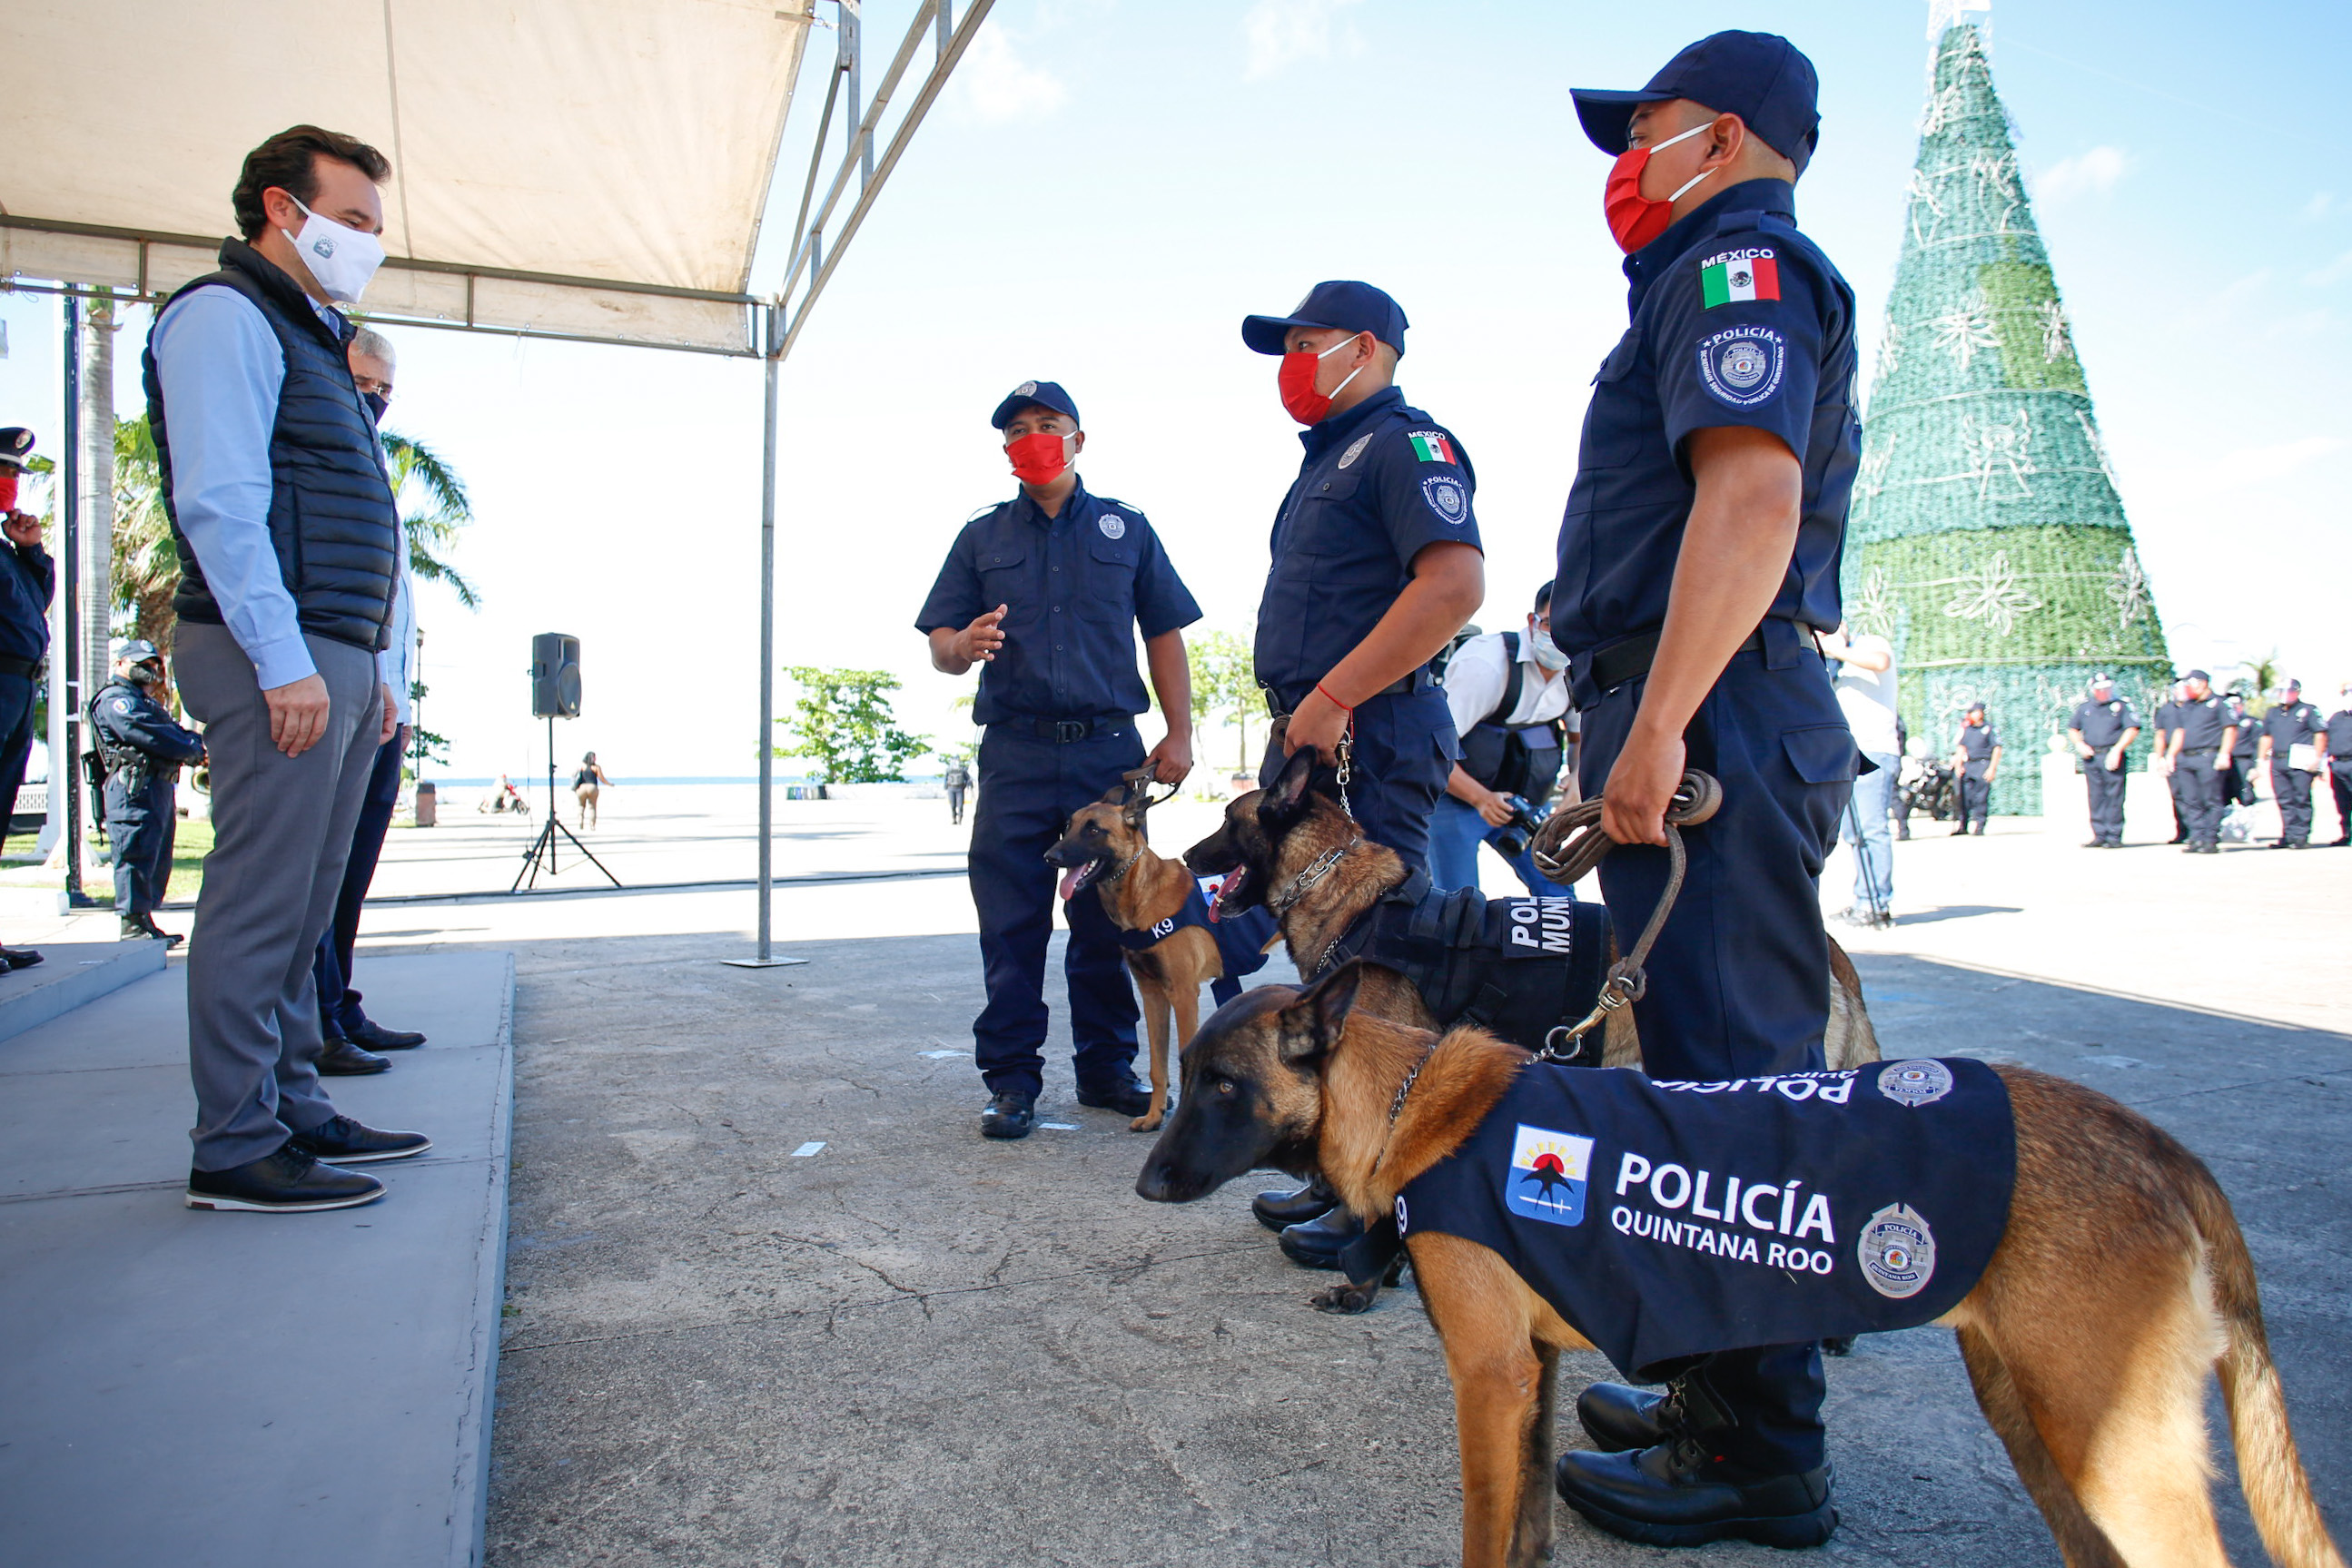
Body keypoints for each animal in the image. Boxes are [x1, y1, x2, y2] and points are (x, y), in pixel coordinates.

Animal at [1045, 779, 1274, 1131]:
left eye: (1093, 830)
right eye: (1069, 826)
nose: (1049, 856)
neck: (1142, 894)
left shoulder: (1184, 995)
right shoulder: (1153, 995)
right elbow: (1157, 1065)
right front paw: (1154, 1116)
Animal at [1137, 967, 2344, 1568]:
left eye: (1222, 1086)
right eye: (1188, 1074)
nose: (1145, 1180)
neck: (1406, 1096)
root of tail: (2162, 1147)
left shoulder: (1487, 1376)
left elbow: (1486, 1528)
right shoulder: (1529, 1377)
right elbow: (1523, 1528)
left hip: (2112, 1452)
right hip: (2049, 1432)